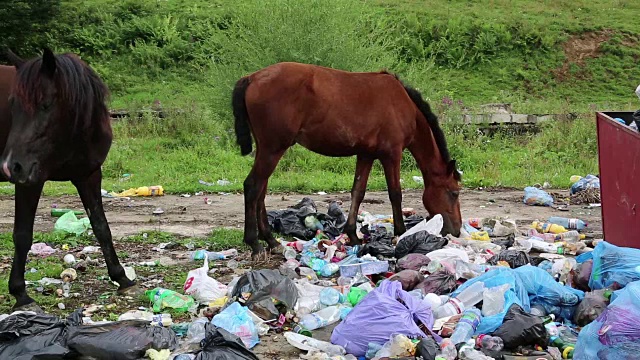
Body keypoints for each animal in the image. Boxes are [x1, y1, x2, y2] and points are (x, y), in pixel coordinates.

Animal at [1, 49, 139, 310]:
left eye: (45, 104)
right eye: (13, 105)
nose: (10, 166)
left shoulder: (89, 175)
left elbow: (101, 227)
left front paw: (121, 277)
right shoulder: (30, 181)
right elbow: (22, 235)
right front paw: (20, 294)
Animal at [232, 62, 462, 255]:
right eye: (454, 193)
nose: (457, 231)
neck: (404, 105)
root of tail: (252, 78)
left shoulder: (366, 155)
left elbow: (358, 192)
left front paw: (353, 235)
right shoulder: (391, 155)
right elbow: (395, 193)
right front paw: (400, 231)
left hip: (266, 149)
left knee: (261, 191)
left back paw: (271, 240)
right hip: (273, 149)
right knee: (253, 186)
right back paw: (255, 242)